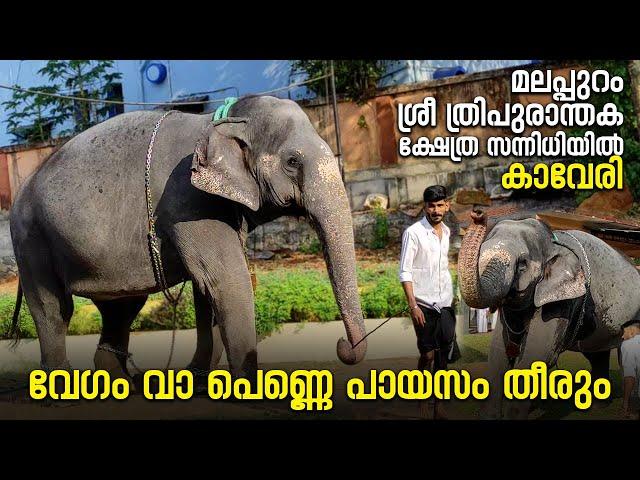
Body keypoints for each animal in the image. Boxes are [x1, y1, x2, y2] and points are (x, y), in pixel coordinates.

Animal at [8, 95, 364, 380]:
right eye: (292, 161)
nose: (342, 345)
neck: (220, 120)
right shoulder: (187, 199)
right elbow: (226, 280)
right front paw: (247, 389)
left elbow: (205, 289)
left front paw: (196, 378)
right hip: (29, 240)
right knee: (54, 308)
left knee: (122, 307)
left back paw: (121, 382)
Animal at [458, 210, 640, 416]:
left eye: (522, 264)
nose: (478, 214)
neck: (553, 243)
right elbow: (498, 352)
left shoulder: (562, 302)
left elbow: (535, 354)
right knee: (596, 354)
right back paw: (599, 406)